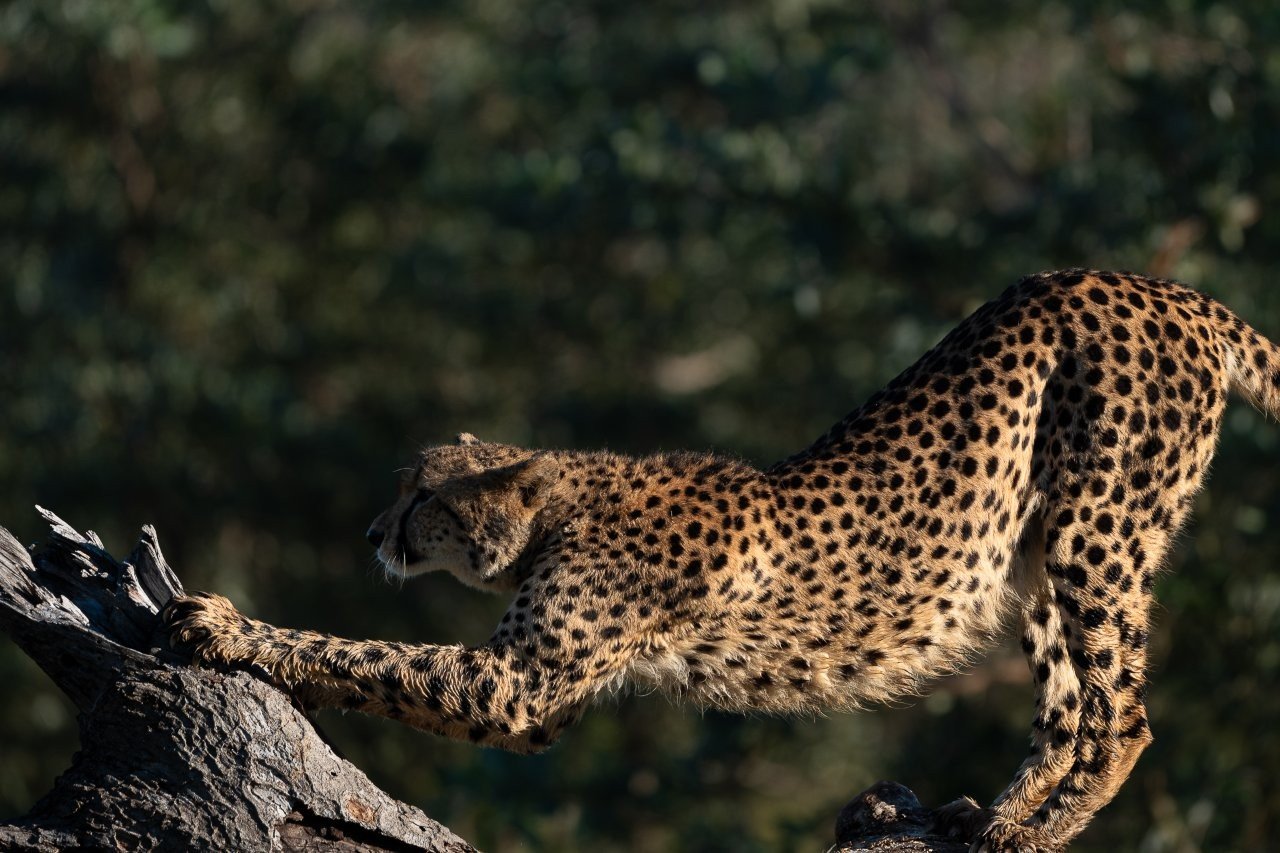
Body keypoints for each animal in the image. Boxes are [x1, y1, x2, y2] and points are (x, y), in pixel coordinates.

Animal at [166, 269, 1280, 852]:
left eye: (422, 495)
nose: (371, 534)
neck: (563, 501)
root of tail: (1157, 285)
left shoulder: (521, 686)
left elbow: (372, 656)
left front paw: (224, 625)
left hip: (1097, 530)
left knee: (1121, 715)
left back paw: (1029, 832)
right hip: (1035, 552)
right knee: (1063, 704)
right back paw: (988, 815)